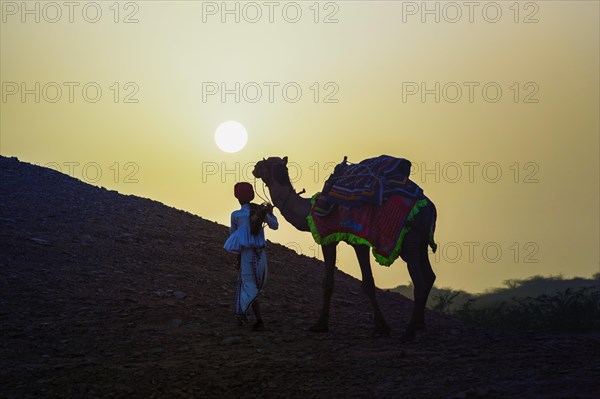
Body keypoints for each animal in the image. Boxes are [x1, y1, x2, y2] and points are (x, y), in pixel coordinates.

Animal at [251, 158, 438, 342]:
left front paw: (320, 325)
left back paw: (409, 332)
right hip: (421, 242)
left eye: (266, 162)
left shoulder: (333, 239)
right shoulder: (352, 241)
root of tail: (430, 208)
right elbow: (364, 282)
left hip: (409, 242)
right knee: (430, 276)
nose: (254, 167)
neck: (308, 211)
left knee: (419, 281)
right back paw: (420, 325)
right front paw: (381, 327)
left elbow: (335, 282)